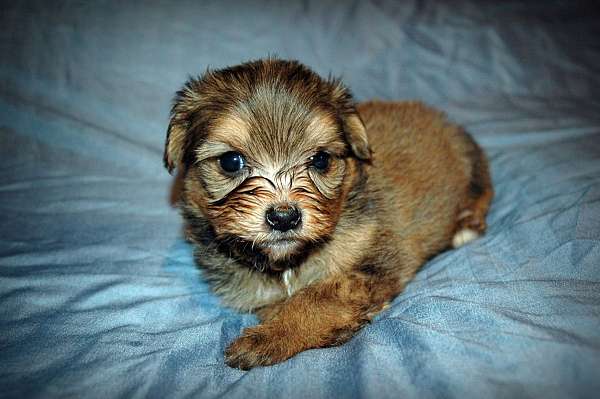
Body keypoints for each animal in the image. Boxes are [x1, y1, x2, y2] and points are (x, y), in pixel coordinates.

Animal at [163, 57, 492, 370]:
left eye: (320, 160)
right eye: (231, 161)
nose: (284, 218)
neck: (288, 263)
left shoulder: (373, 262)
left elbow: (319, 296)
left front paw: (269, 336)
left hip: (471, 162)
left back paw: (467, 225)